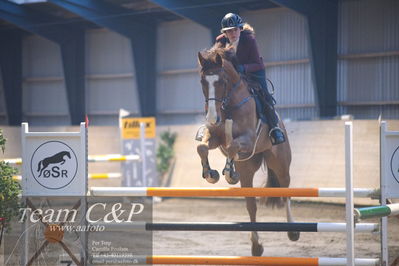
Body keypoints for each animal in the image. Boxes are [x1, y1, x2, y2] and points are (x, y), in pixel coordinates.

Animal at [197, 47, 300, 256]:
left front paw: (229, 173)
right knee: (251, 205)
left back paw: (292, 231)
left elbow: (232, 147)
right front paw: (211, 174)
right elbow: (202, 147)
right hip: (247, 170)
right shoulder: (215, 136)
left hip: (280, 163)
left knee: (285, 189)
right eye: (203, 81)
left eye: (222, 81)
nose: (212, 117)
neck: (228, 104)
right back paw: (256, 246)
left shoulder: (249, 139)